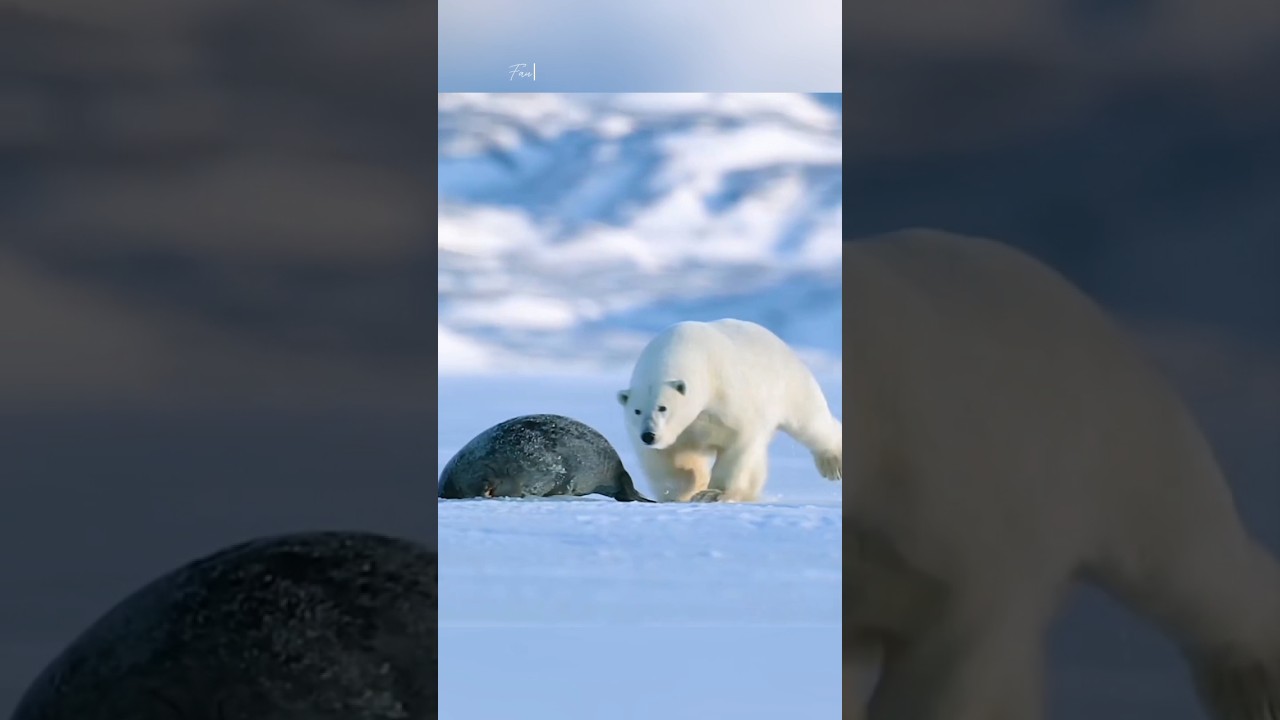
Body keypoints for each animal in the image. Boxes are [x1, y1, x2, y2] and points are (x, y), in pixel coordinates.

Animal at [615, 318, 842, 503]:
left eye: (662, 407)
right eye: (636, 411)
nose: (649, 435)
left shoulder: (726, 395)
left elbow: (737, 439)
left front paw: (711, 493)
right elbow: (665, 458)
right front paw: (684, 490)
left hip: (788, 383)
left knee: (810, 423)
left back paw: (833, 464)